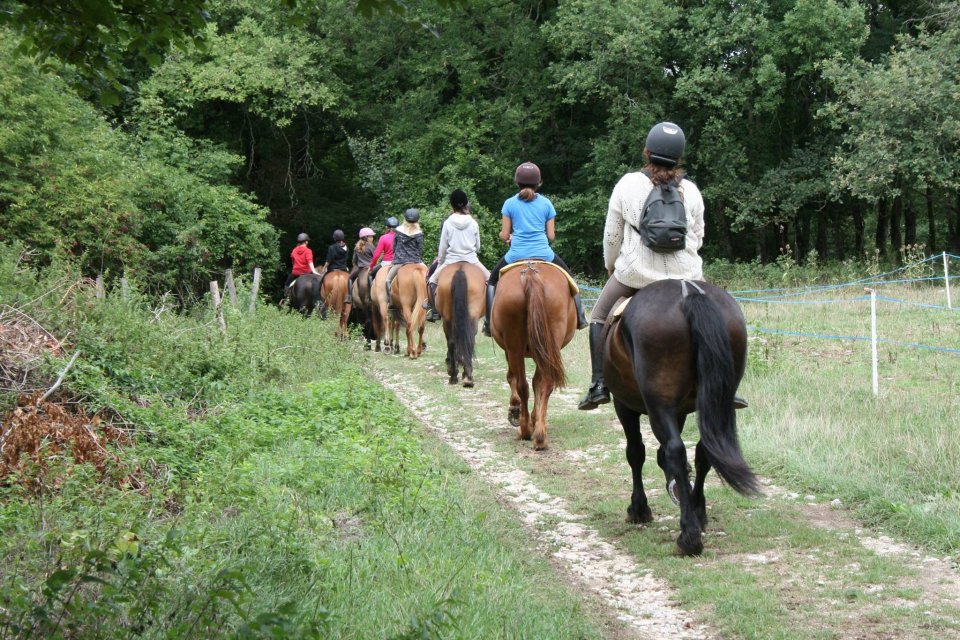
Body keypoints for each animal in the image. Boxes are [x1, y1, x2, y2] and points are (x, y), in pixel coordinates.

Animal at [492, 260, 572, 450]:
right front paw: (535, 419)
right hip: (548, 342)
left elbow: (513, 378)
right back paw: (540, 436)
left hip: (515, 347)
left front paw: (515, 410)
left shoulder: (510, 351)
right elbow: (537, 382)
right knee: (546, 383)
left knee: (522, 383)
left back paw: (525, 430)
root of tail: (530, 272)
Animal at [608, 278, 756, 556]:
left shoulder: (624, 404)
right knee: (704, 450)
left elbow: (636, 453)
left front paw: (639, 509)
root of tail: (688, 291)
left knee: (675, 450)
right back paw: (697, 513)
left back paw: (688, 537)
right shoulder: (681, 411)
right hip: (718, 400)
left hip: (658, 403)